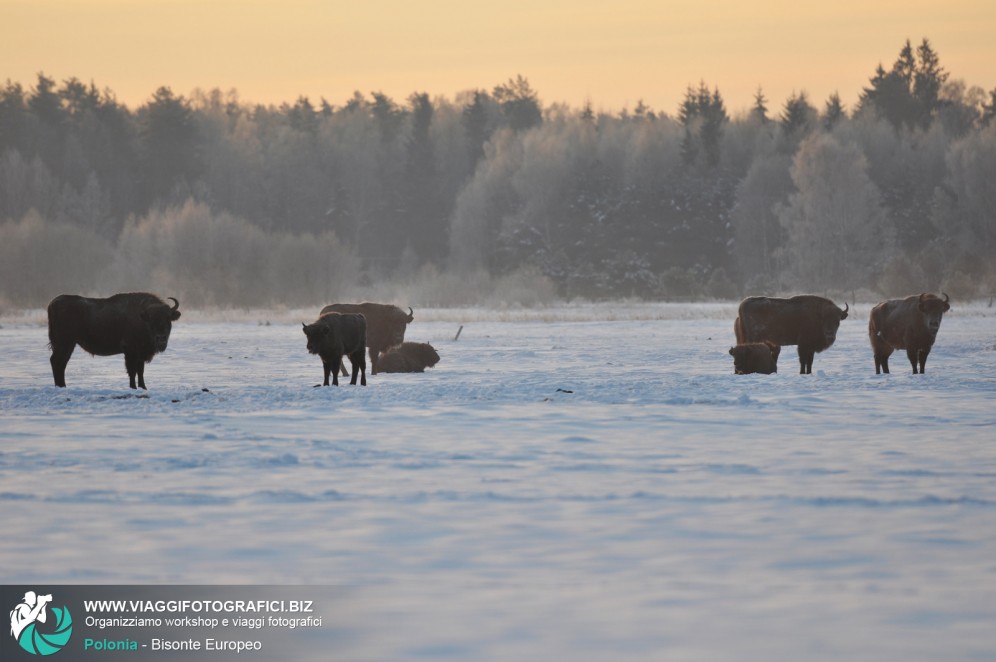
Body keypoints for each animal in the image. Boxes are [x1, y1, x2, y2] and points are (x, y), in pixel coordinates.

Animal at [46, 294, 181, 392]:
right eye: (151, 319)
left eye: (168, 318)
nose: (161, 338)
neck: (141, 318)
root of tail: (52, 303)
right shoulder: (131, 352)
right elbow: (132, 371)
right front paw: (133, 387)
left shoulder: (140, 354)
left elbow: (140, 371)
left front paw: (143, 387)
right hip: (65, 343)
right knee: (57, 362)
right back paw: (61, 386)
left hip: (67, 345)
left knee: (60, 363)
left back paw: (61, 386)